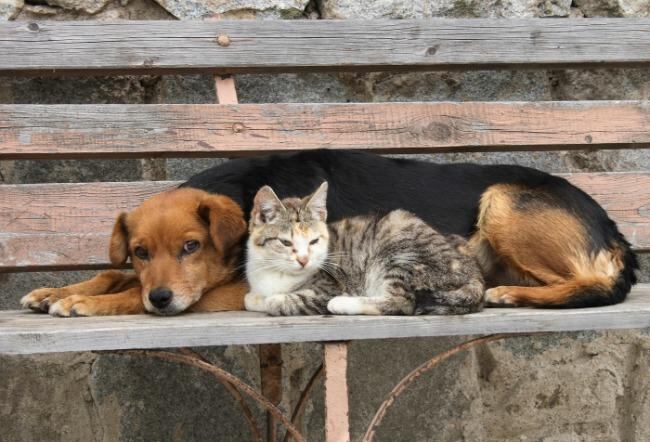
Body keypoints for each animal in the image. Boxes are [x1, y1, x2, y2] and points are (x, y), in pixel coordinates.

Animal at [243, 181, 480, 316]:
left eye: (314, 241)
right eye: (285, 243)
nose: (303, 260)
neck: (276, 273)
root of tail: (474, 274)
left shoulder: (328, 287)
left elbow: (279, 301)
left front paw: (271, 300)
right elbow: (250, 299)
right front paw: (256, 298)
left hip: (402, 251)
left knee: (402, 302)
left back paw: (342, 304)